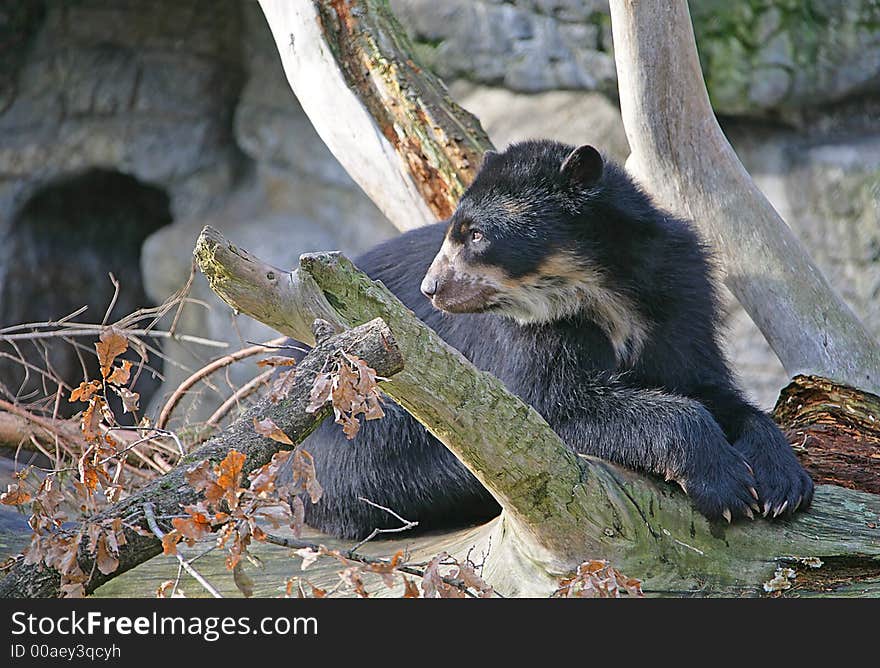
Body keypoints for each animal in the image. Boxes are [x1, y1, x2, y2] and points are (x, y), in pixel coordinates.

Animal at [294, 140, 812, 536]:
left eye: (476, 235)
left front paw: (783, 485)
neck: (600, 288)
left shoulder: (680, 299)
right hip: (349, 431)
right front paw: (727, 488)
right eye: (455, 232)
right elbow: (552, 406)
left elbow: (706, 384)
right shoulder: (530, 333)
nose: (431, 288)